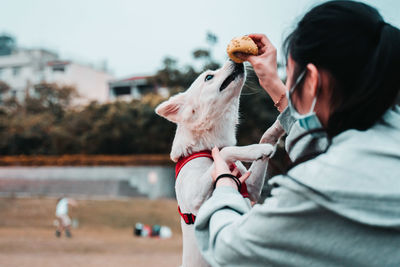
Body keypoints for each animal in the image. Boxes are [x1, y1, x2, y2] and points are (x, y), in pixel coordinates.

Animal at [155, 61, 284, 267]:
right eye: (209, 77)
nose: (236, 62)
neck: (206, 146)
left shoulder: (252, 189)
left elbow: (266, 135)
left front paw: (282, 120)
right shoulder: (196, 198)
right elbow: (225, 151)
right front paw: (256, 149)